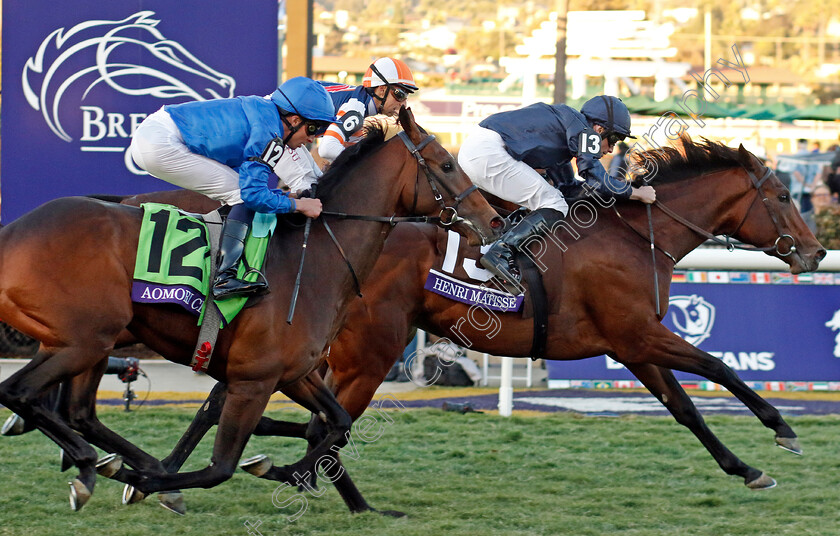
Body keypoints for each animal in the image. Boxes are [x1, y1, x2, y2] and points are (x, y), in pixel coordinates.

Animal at [0, 105, 502, 510]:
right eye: (448, 163)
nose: (495, 220)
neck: (313, 257)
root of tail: (13, 232)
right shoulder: (253, 380)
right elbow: (221, 466)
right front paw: (150, 480)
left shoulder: (295, 372)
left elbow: (334, 424)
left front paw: (288, 472)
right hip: (85, 341)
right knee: (21, 393)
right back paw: (91, 466)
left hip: (82, 341)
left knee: (70, 409)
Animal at [135, 137, 824, 510]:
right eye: (782, 196)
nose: (817, 253)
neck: (635, 236)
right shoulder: (638, 334)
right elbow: (717, 366)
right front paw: (783, 429)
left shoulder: (632, 346)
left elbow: (685, 408)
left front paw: (745, 467)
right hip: (369, 349)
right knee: (318, 424)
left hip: (318, 347)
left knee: (244, 403)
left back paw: (163, 478)